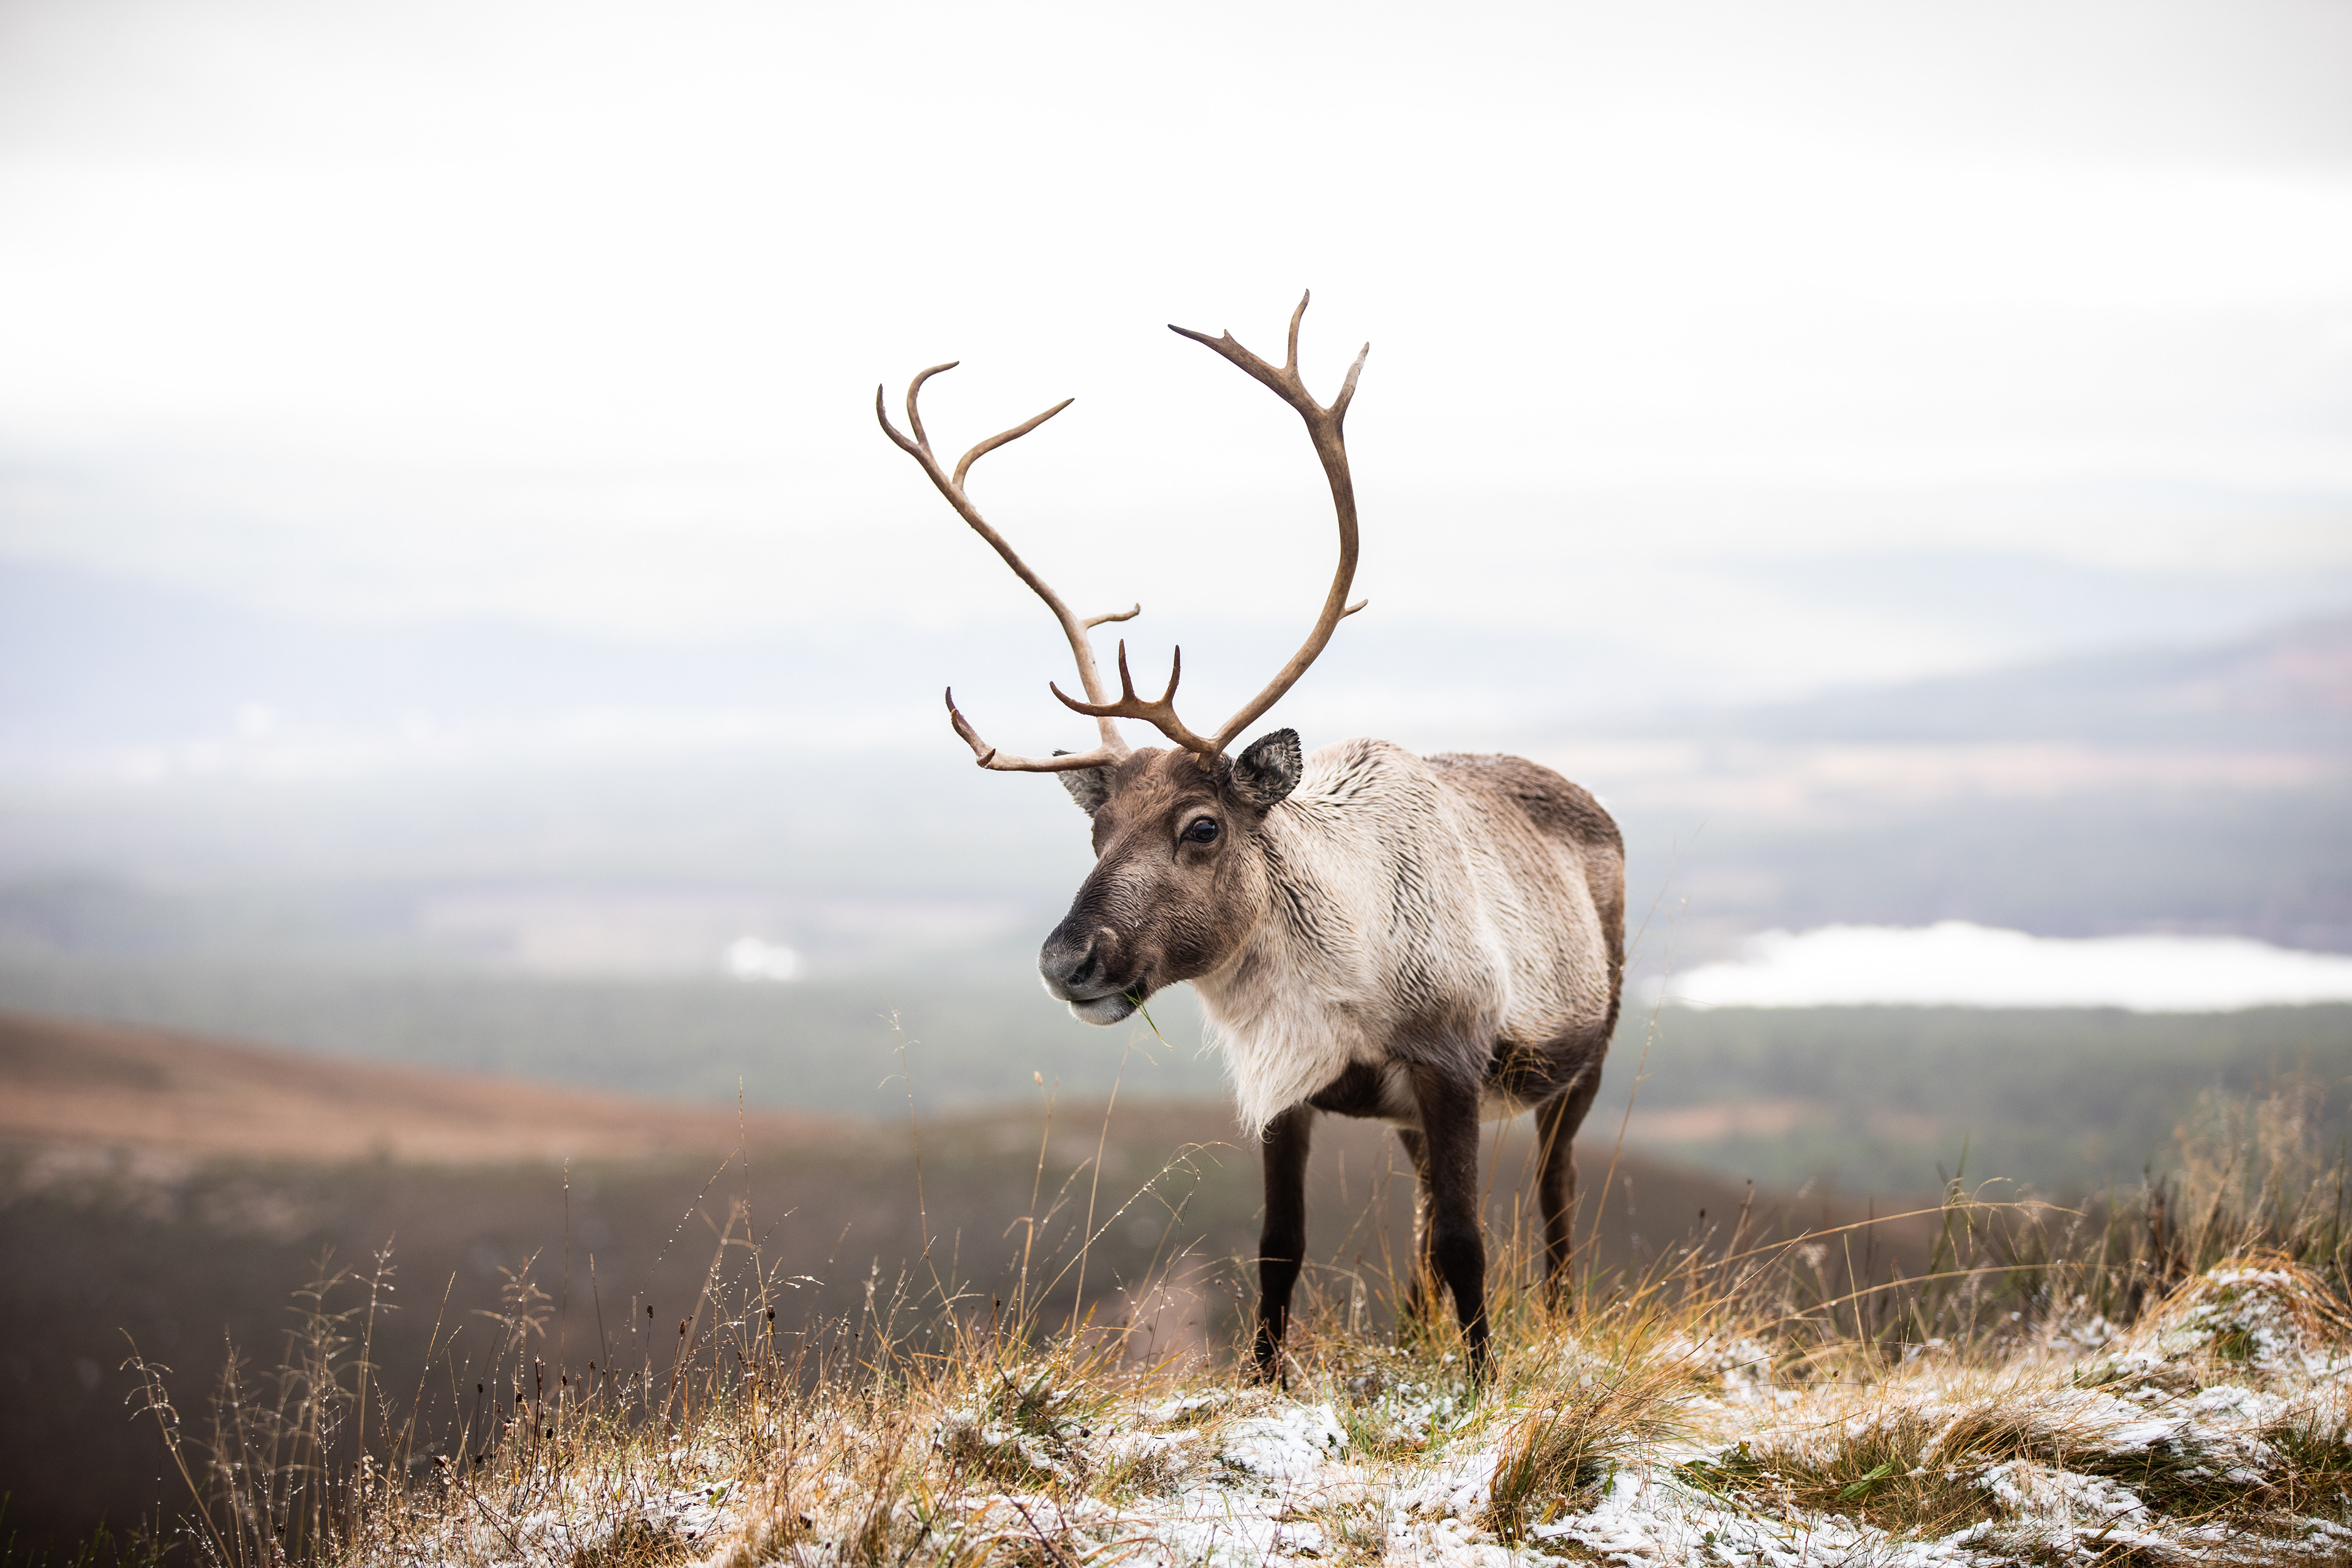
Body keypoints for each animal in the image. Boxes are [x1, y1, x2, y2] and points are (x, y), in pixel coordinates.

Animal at [876, 295, 1624, 1382]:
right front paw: (1266, 1381)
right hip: (1420, 1121)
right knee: (1422, 1220)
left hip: (1583, 1060)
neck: (1343, 977)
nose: (1067, 960)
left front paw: (1484, 1385)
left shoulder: (1450, 1064)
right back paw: (1415, 1337)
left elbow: (1467, 1241)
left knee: (1554, 1196)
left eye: (1202, 826)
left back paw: (1559, 1321)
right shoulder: (1286, 1091)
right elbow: (1282, 1245)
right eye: (1096, 828)